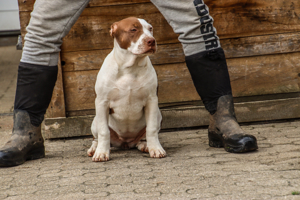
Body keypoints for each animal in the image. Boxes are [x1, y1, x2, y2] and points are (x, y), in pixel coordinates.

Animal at [86, 16, 166, 162]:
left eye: (150, 28)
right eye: (133, 29)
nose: (152, 40)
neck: (130, 67)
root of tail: (126, 143)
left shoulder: (151, 101)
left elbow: (151, 129)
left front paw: (156, 149)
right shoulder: (102, 102)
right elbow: (104, 132)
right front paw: (101, 153)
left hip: (158, 114)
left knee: (145, 135)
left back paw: (145, 145)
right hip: (95, 121)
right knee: (97, 137)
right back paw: (94, 148)